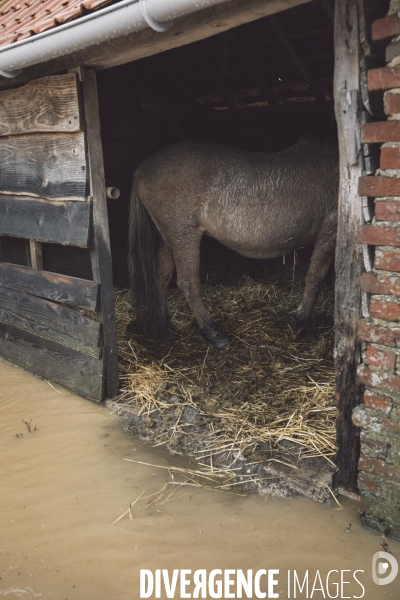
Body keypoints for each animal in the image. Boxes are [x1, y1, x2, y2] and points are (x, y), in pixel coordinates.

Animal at [127, 137, 338, 350]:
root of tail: (143, 168)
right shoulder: (329, 232)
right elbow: (315, 279)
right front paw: (304, 325)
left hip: (169, 238)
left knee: (161, 277)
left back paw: (166, 330)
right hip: (184, 237)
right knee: (188, 284)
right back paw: (214, 334)